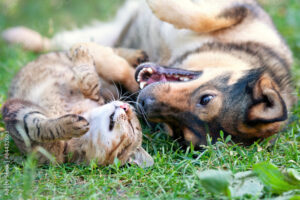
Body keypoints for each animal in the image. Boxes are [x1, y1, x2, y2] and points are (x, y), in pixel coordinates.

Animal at [1, 0, 296, 147]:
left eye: (180, 132)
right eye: (206, 98)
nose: (144, 104)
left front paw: (97, 56)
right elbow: (203, 16)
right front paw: (160, 5)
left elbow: (121, 70)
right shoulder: (242, 11)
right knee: (51, 39)